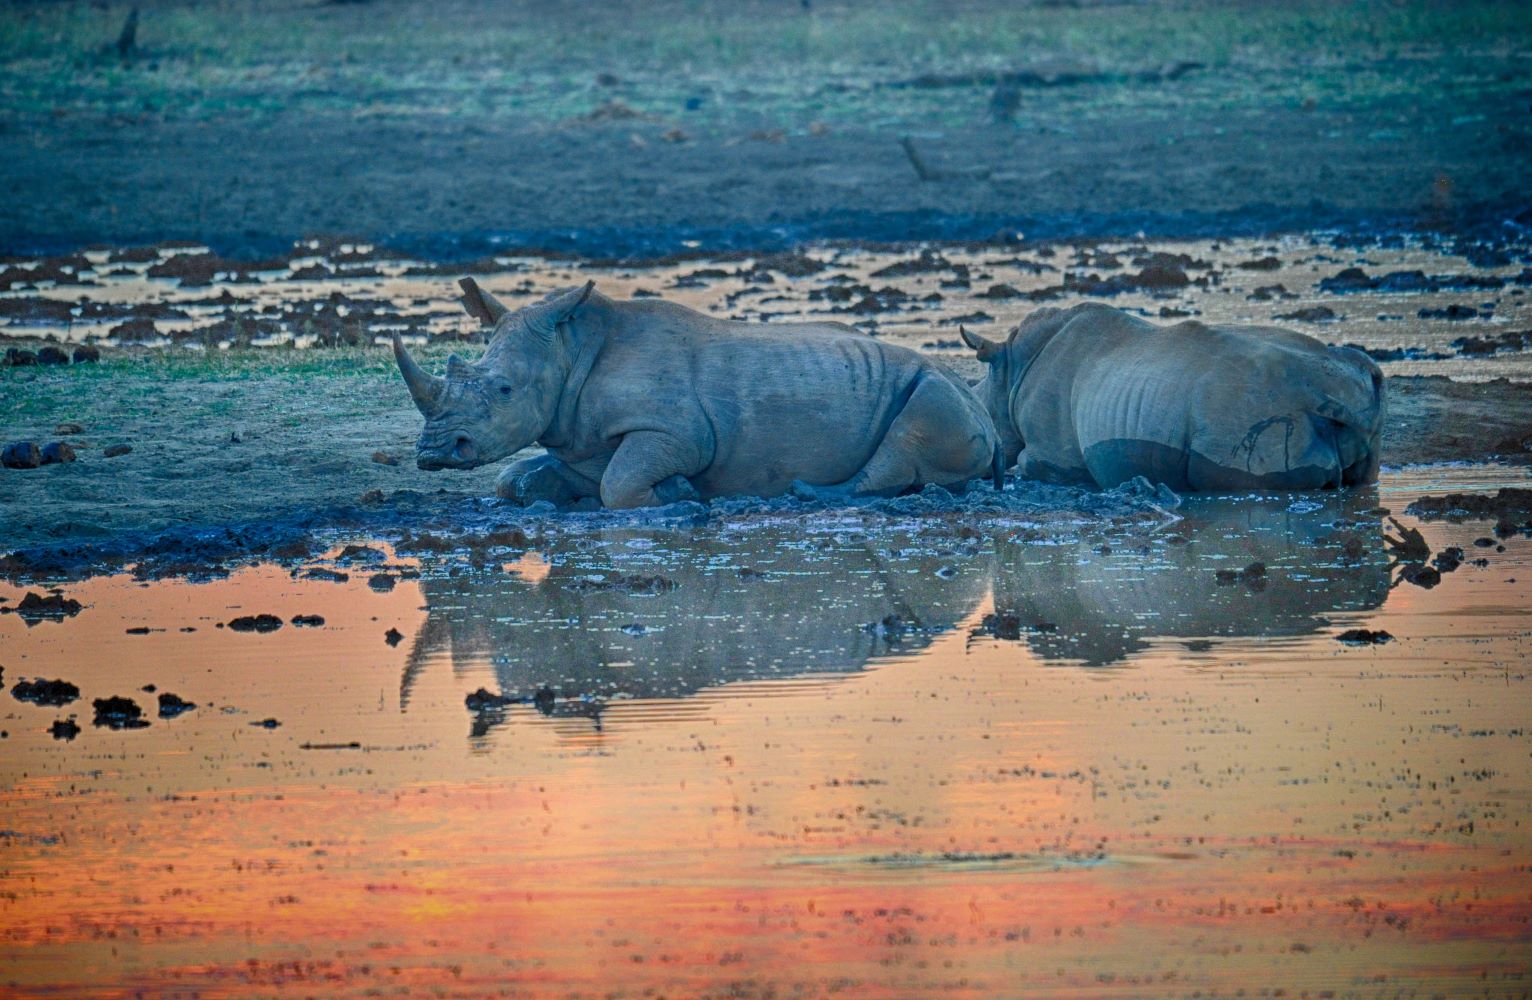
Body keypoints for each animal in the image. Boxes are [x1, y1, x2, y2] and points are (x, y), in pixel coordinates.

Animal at [393, 279, 1000, 508]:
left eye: (503, 389)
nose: (433, 453)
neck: (570, 350)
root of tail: (989, 416)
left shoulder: (679, 433)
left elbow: (620, 484)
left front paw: (679, 493)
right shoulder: (581, 441)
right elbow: (515, 477)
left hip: (940, 390)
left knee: (908, 431)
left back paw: (807, 493)